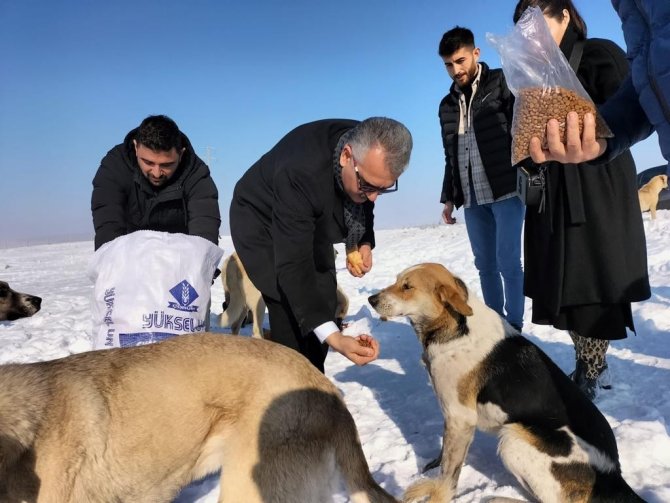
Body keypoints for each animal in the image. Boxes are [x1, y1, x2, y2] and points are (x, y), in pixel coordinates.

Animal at [219, 252, 352, 338]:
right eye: (339, 318)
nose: (340, 329)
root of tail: (232, 262)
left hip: (241, 304)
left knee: (235, 325)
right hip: (258, 302)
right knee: (256, 331)